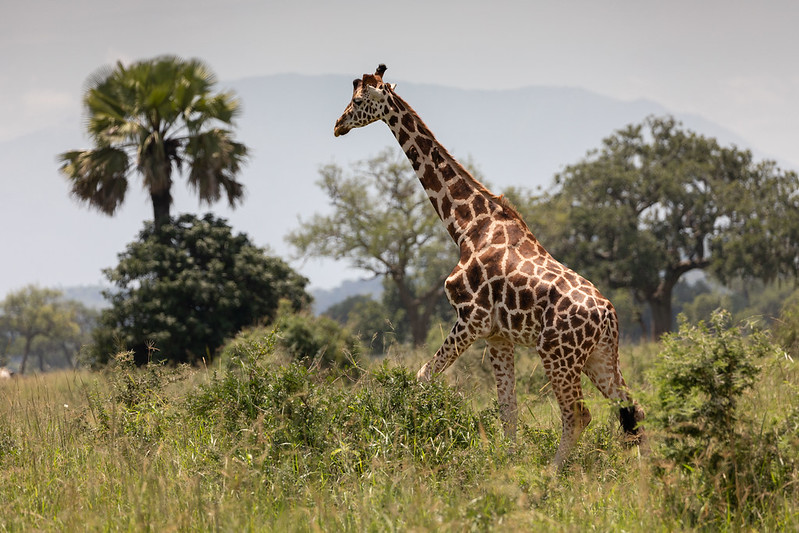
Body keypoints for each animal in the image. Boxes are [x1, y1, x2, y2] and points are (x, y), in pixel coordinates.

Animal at [334, 65, 648, 466]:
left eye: (359, 101)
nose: (338, 125)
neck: (467, 227)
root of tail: (609, 315)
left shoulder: (473, 319)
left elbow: (423, 375)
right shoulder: (499, 336)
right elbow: (506, 407)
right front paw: (508, 462)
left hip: (558, 354)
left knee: (579, 414)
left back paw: (552, 471)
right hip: (599, 356)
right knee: (631, 407)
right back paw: (651, 472)